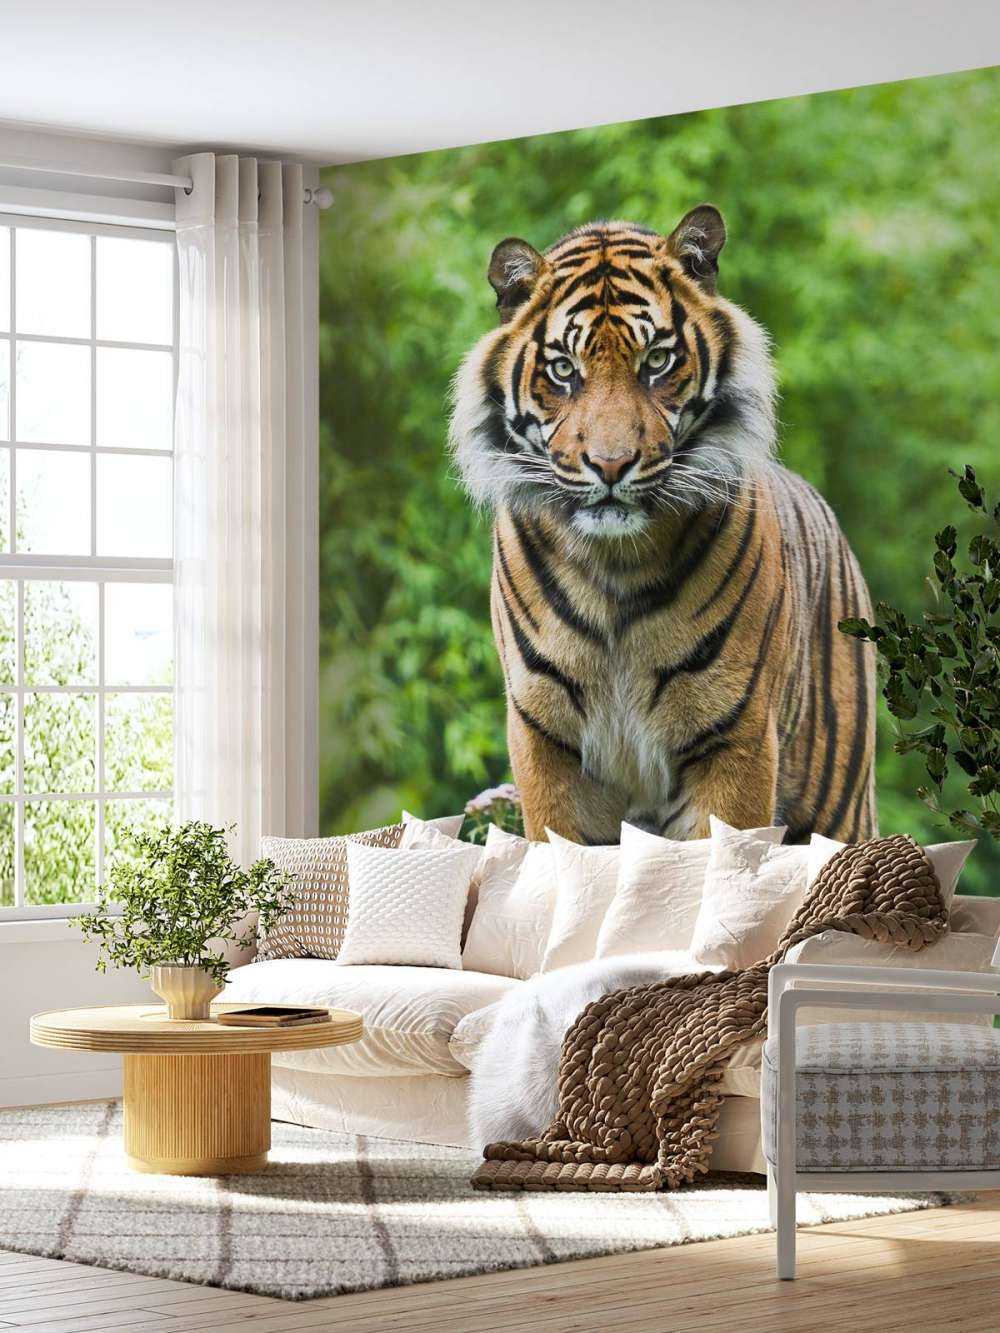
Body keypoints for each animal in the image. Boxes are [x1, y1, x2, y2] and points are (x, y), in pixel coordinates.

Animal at [449, 205, 877, 845]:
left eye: (656, 361)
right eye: (563, 369)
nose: (609, 465)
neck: (614, 568)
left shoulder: (735, 740)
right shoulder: (546, 742)